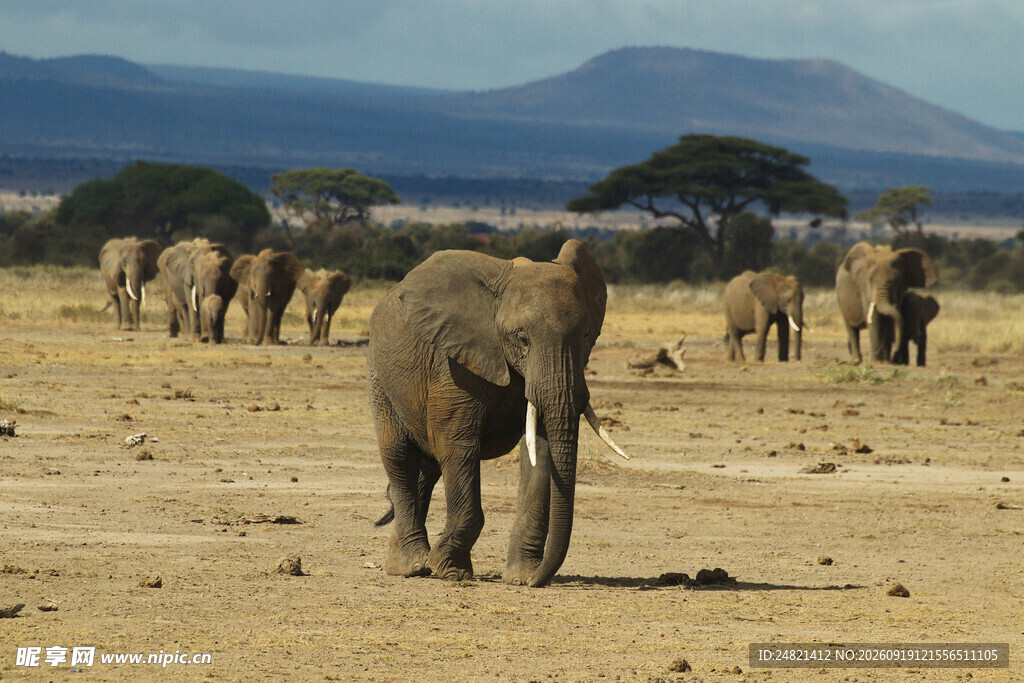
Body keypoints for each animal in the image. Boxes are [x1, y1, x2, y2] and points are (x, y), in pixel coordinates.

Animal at [368, 239, 628, 588]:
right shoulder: (454, 366)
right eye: (522, 338)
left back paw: (404, 563)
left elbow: (541, 451)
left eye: (586, 336)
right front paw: (451, 572)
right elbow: (456, 445)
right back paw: (413, 566)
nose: (537, 581)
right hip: (380, 376)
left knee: (427, 468)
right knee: (399, 456)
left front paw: (522, 576)